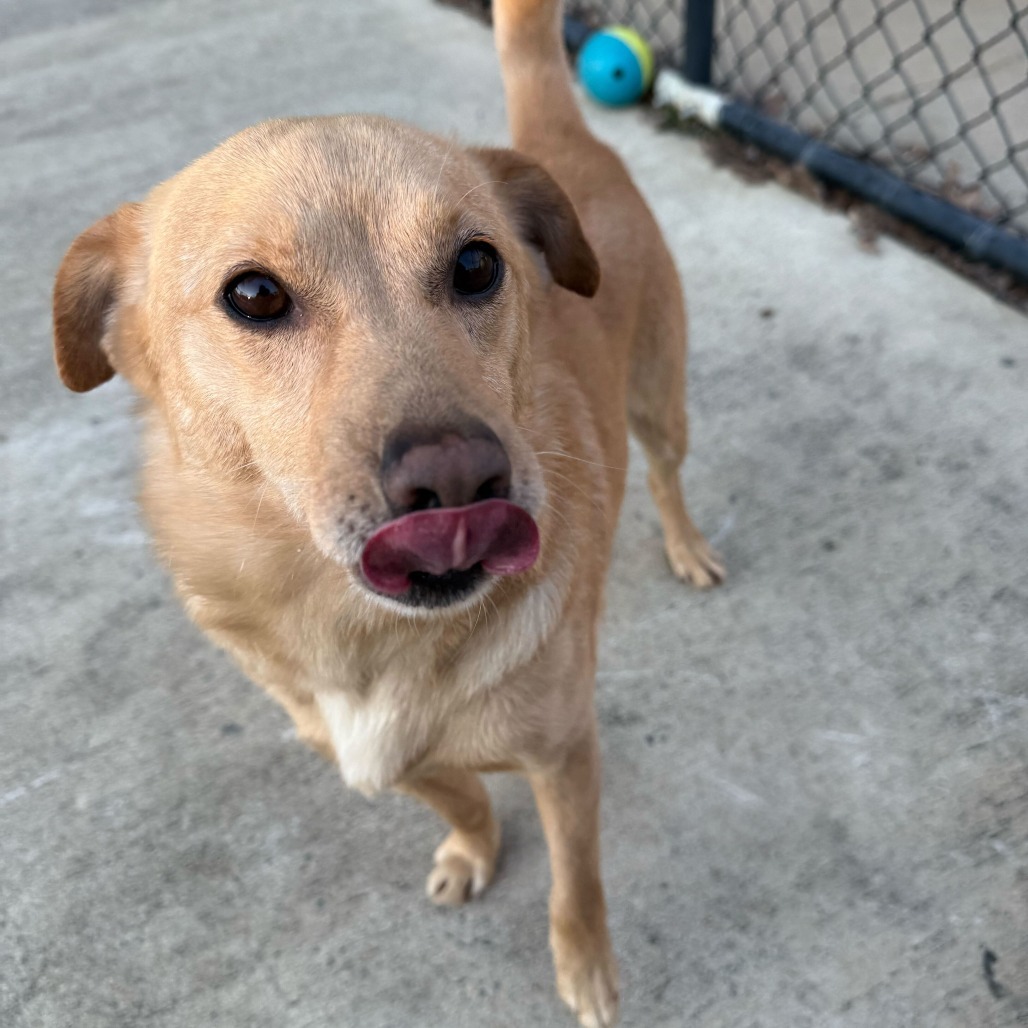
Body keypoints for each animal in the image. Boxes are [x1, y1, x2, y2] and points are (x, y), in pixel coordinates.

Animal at [50, 4, 723, 1023]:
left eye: (478, 263)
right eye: (253, 294)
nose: (458, 480)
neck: (359, 629)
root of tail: (552, 143)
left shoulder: (568, 756)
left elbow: (577, 885)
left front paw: (587, 969)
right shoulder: (372, 753)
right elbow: (460, 795)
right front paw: (475, 850)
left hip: (659, 399)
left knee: (666, 477)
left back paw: (686, 546)